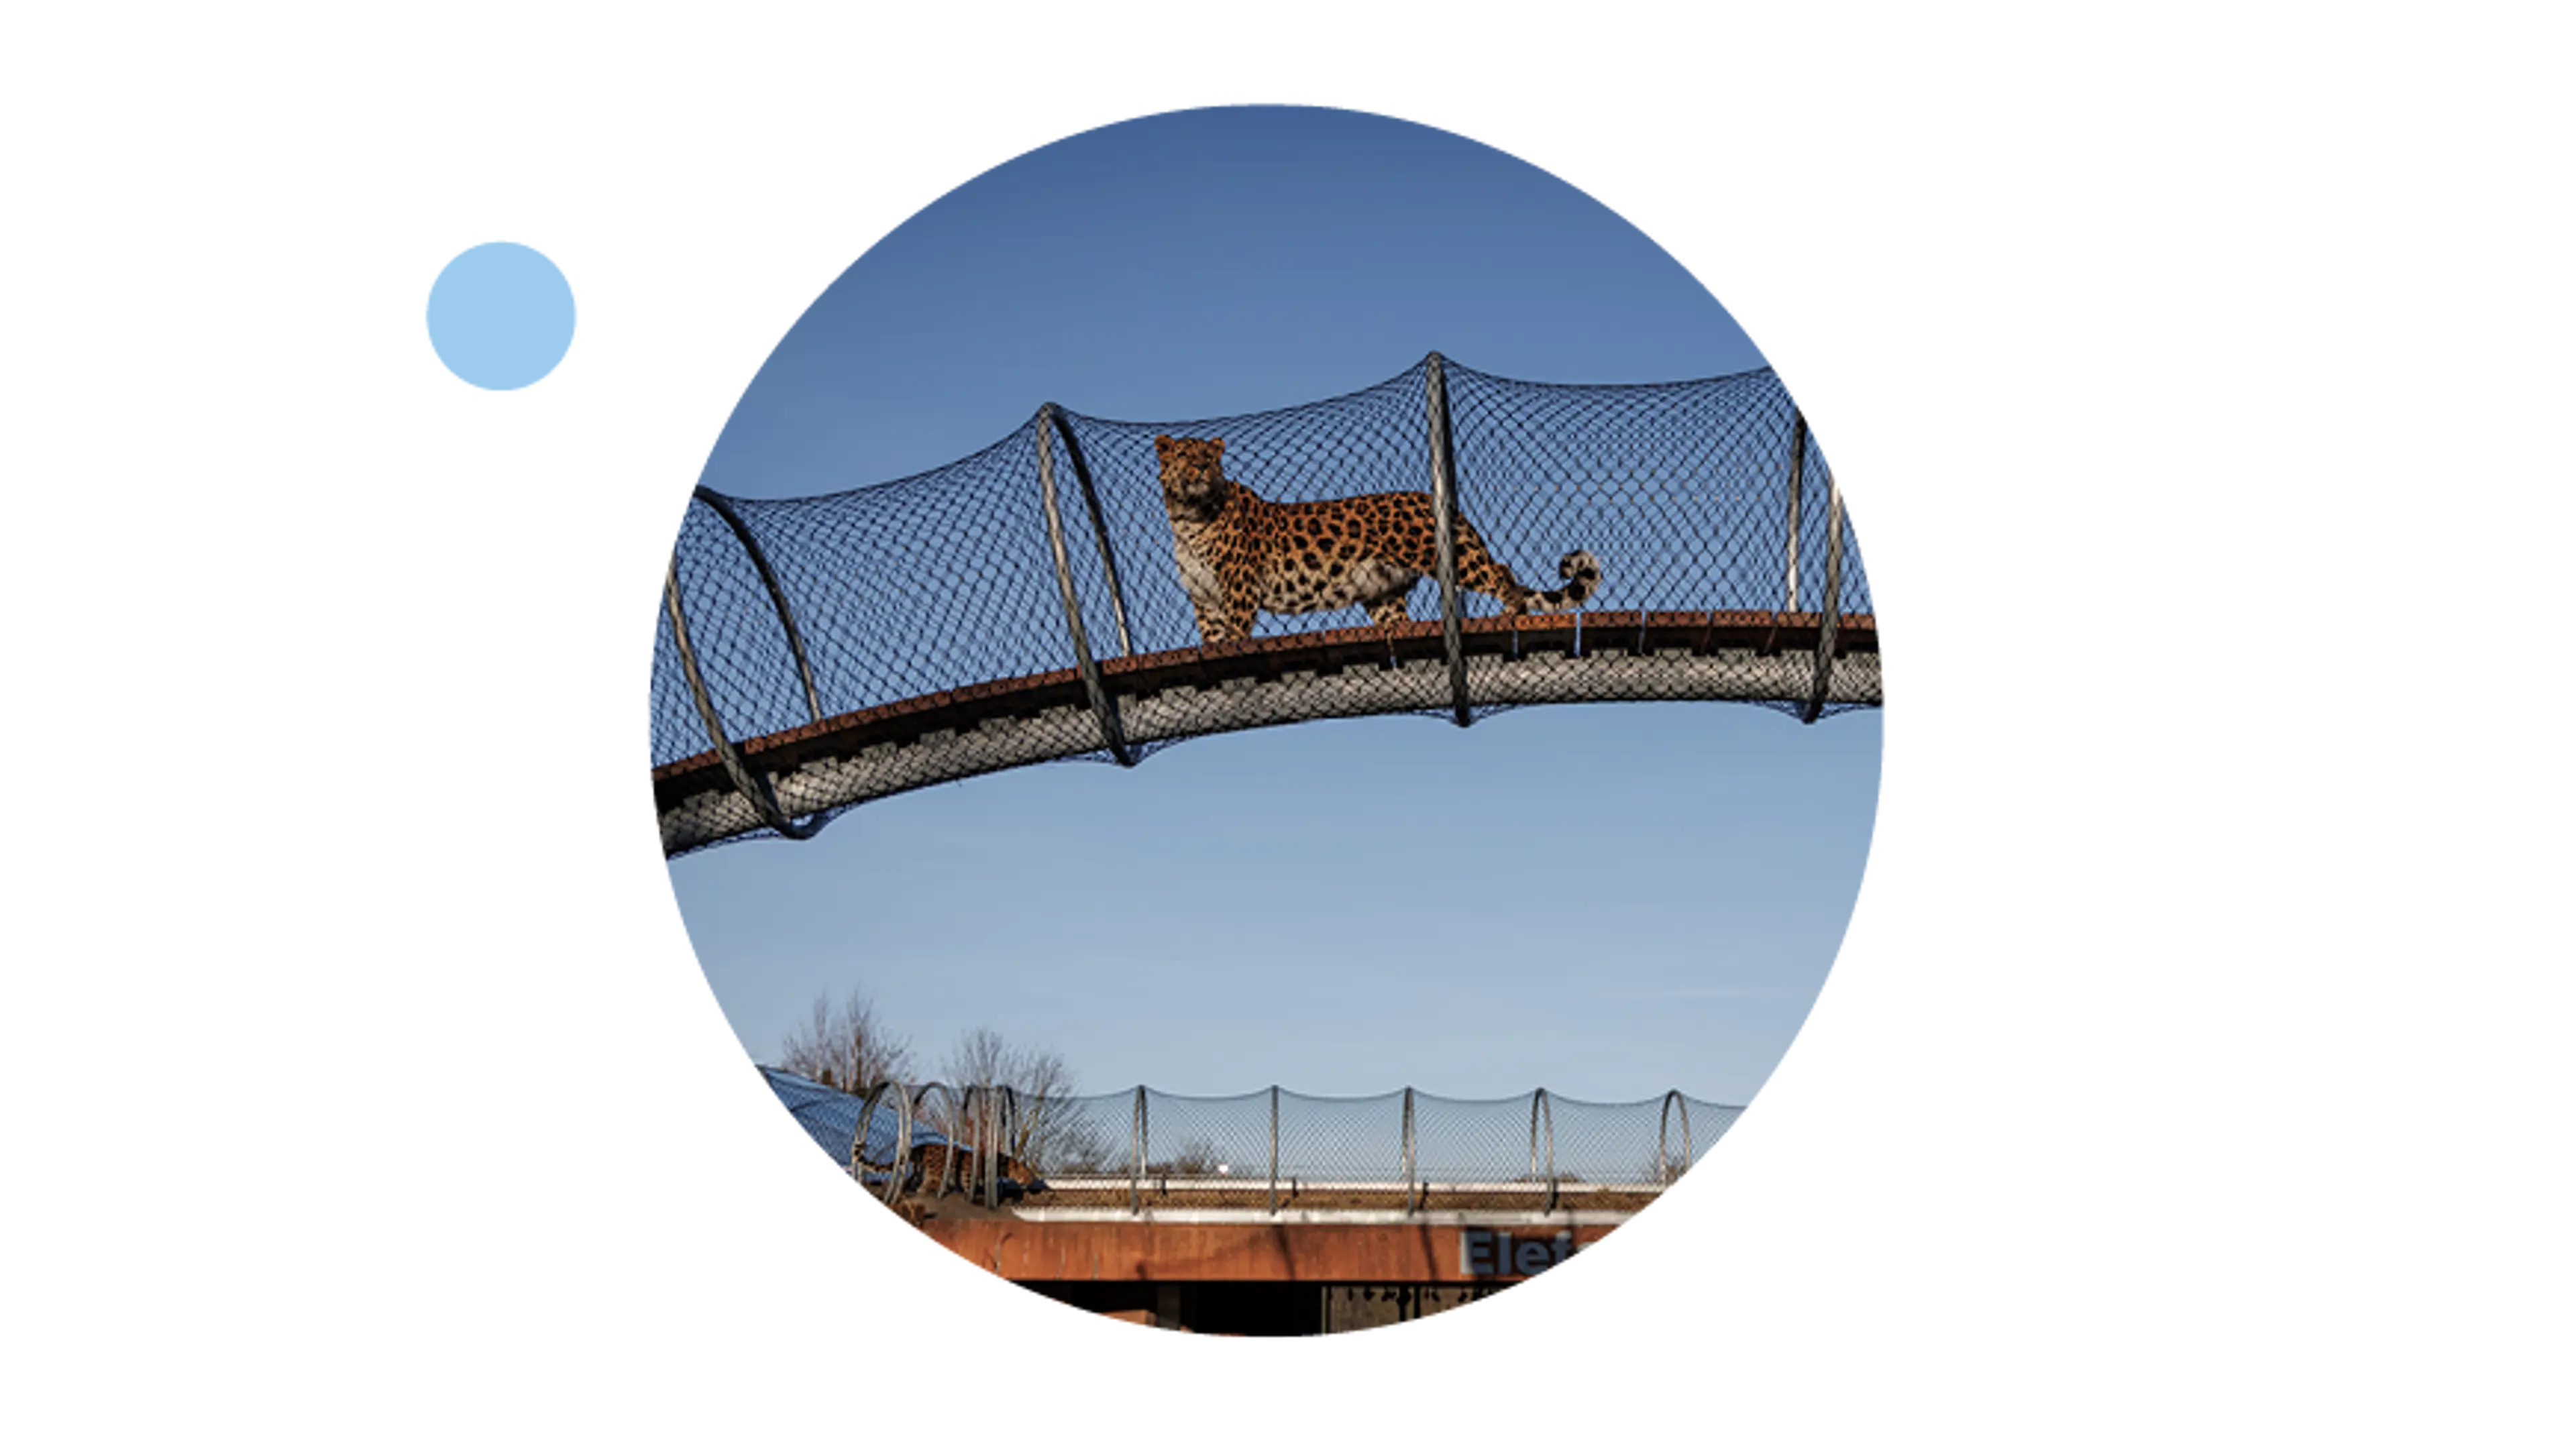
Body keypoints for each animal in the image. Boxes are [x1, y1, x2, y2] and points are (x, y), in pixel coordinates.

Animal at [1154, 434, 1602, 645]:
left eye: (1209, 459)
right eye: (1185, 457)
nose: (1199, 471)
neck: (1188, 519)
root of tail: (1434, 499)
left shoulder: (1239, 588)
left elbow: (1234, 634)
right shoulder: (1204, 597)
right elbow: (1213, 638)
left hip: (1454, 556)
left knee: (1501, 572)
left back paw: (1511, 614)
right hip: (1382, 593)